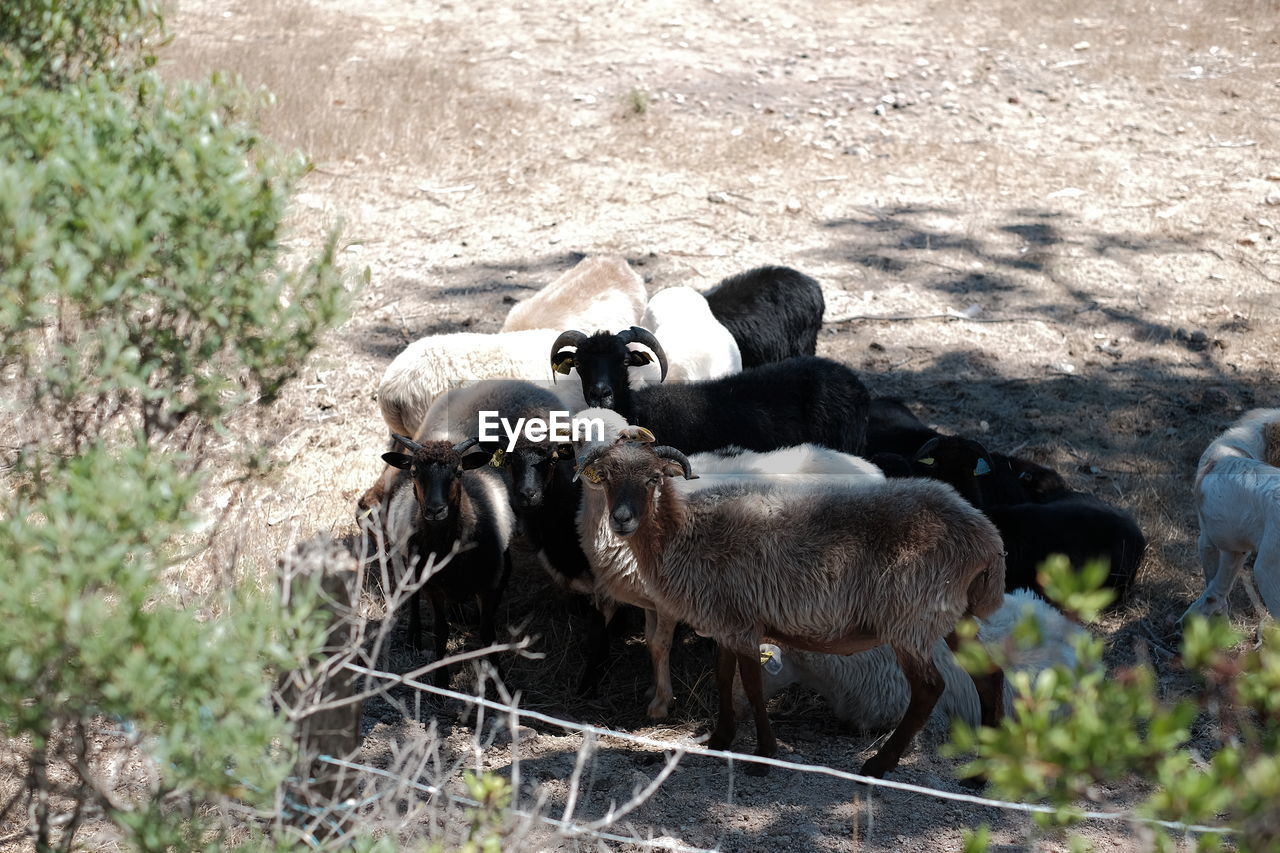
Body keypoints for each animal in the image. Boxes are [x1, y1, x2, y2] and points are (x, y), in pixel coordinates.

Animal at [378, 435, 514, 686]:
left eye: (458, 472)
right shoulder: (432, 586)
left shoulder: (488, 584)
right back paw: (413, 636)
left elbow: (487, 633)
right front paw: (441, 680)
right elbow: (440, 631)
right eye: (414, 471)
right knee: (412, 596)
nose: (435, 510)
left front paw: (500, 682)